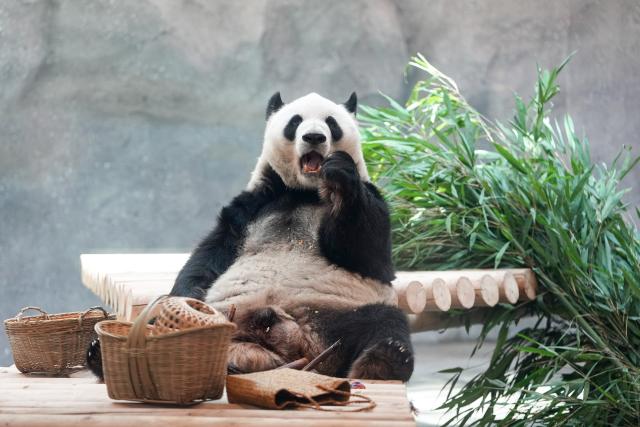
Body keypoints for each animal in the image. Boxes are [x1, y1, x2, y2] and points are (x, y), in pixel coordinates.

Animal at [169, 92, 414, 381]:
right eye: (295, 122)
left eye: (331, 123)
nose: (314, 137)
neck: (304, 191)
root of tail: (298, 342)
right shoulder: (254, 205)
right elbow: (212, 253)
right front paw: (186, 299)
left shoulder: (371, 197)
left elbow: (372, 256)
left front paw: (339, 174)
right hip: (229, 313)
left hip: (338, 315)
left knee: (385, 322)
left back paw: (380, 364)